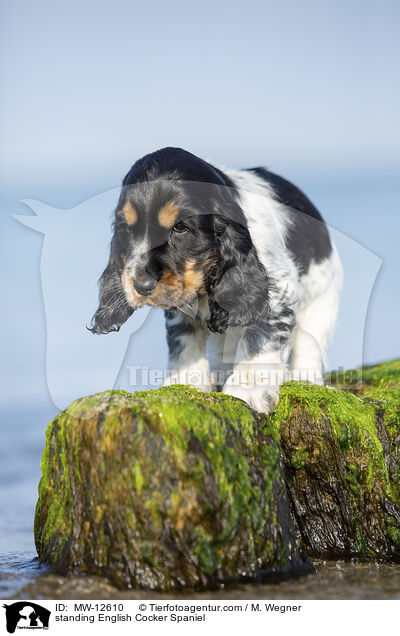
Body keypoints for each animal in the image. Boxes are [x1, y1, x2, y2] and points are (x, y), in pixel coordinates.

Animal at [89, 147, 342, 414]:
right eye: (127, 228)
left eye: (180, 227)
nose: (141, 285)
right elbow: (183, 336)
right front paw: (185, 382)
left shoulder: (278, 289)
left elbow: (260, 336)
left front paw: (249, 387)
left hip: (323, 300)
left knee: (309, 345)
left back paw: (305, 379)